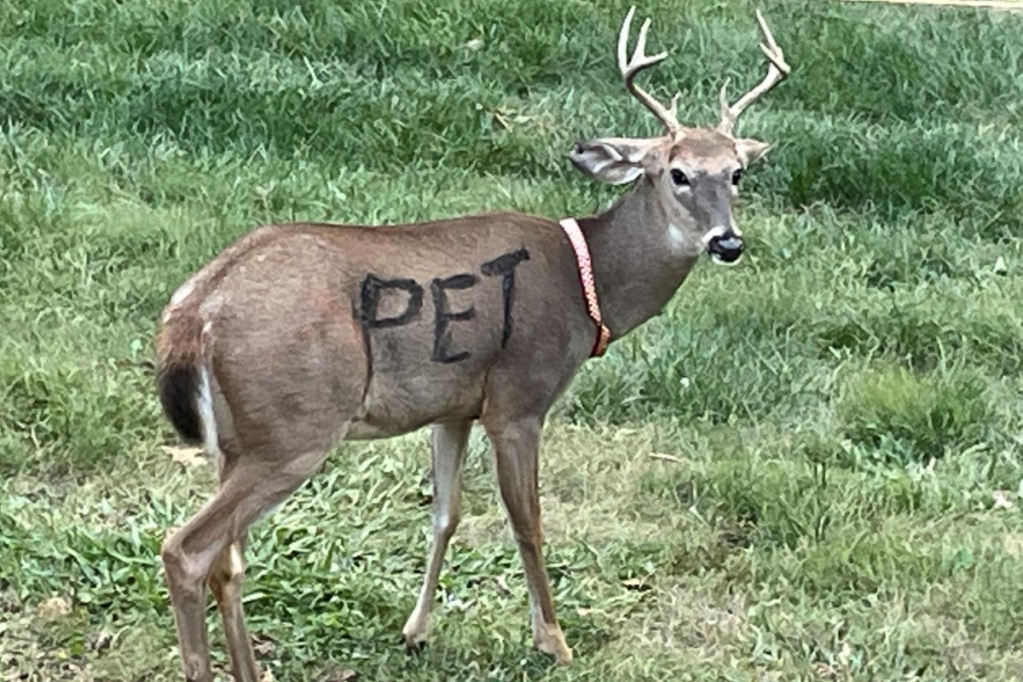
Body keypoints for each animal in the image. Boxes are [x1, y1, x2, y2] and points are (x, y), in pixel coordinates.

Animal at [154, 6, 789, 680]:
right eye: (677, 173)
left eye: (737, 172)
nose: (728, 242)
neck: (586, 281)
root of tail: (194, 309)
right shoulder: (519, 396)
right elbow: (527, 520)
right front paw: (553, 640)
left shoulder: (453, 405)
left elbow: (445, 513)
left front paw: (415, 631)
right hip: (294, 425)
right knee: (188, 549)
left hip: (238, 439)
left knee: (227, 559)